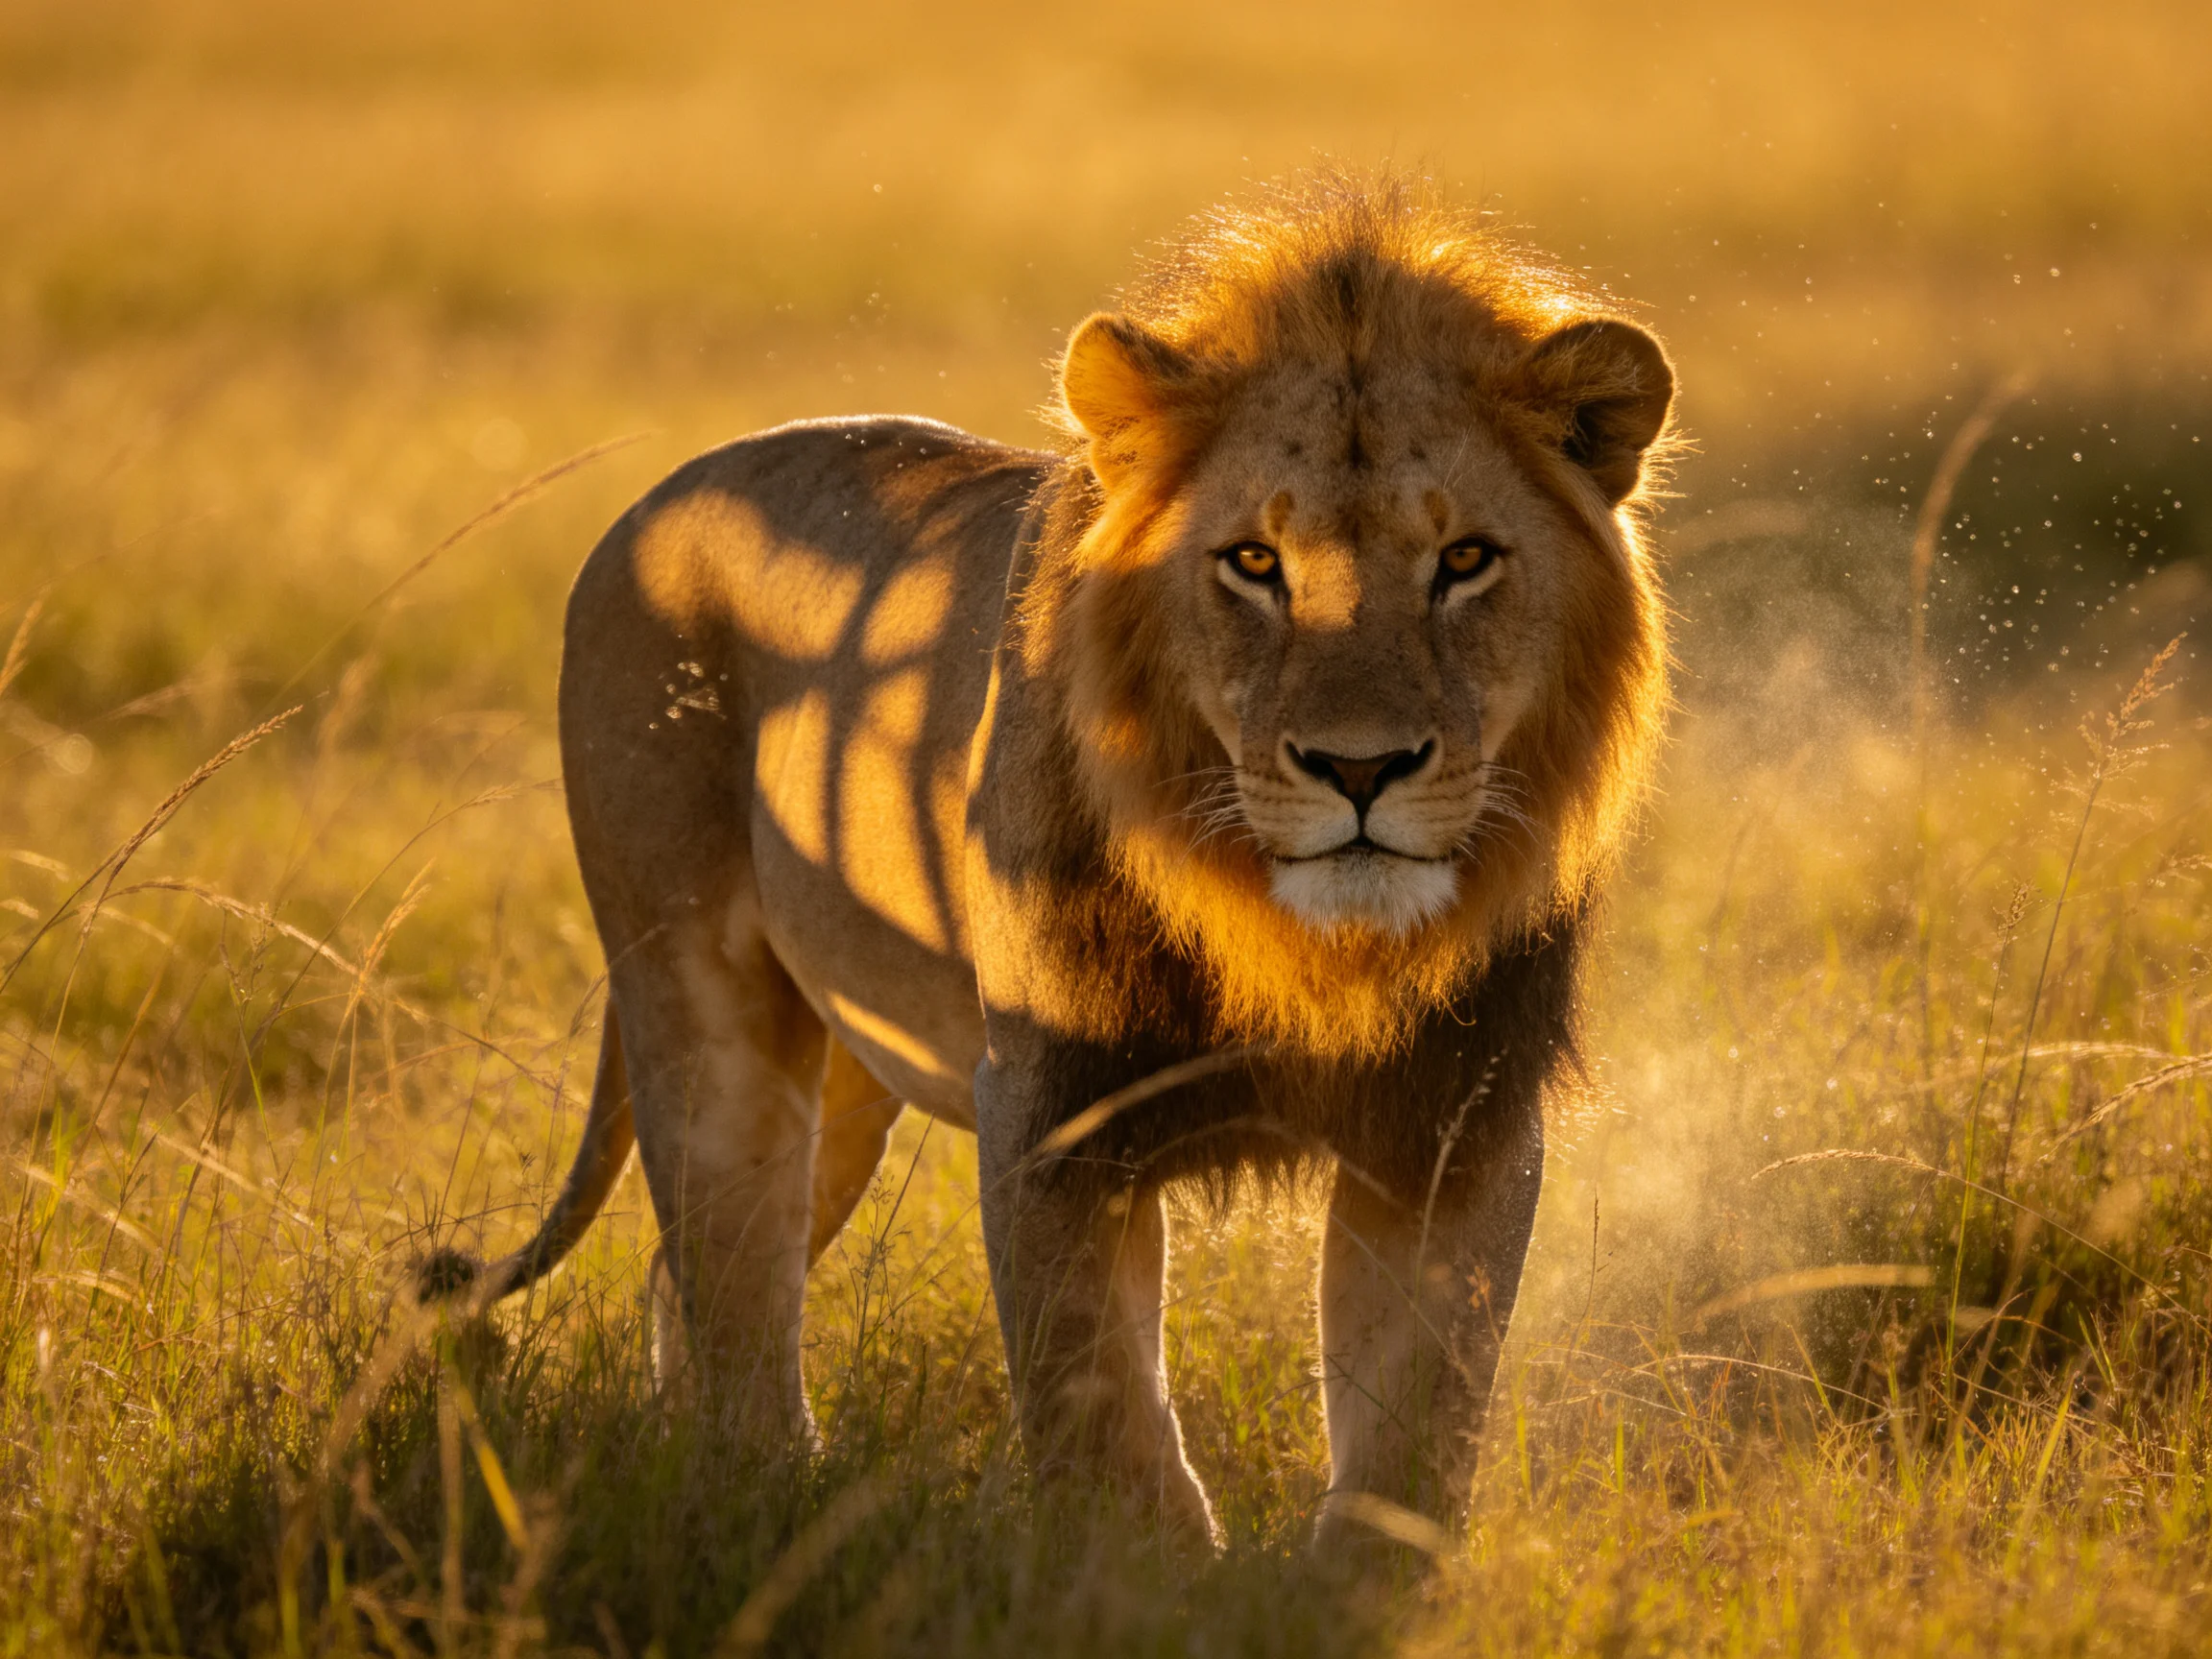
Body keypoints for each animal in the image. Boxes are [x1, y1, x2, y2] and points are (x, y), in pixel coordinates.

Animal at [427, 175, 1674, 1551]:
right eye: (1255, 563)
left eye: (1465, 561)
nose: (1362, 769)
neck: (1286, 935)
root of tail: (654, 501)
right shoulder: (1049, 1103)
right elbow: (1099, 1404)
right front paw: (1142, 1569)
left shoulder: (1459, 1114)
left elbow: (1417, 1421)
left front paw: (1360, 1573)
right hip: (701, 1009)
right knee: (731, 1267)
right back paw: (767, 1488)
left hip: (850, 1065)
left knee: (687, 1274)